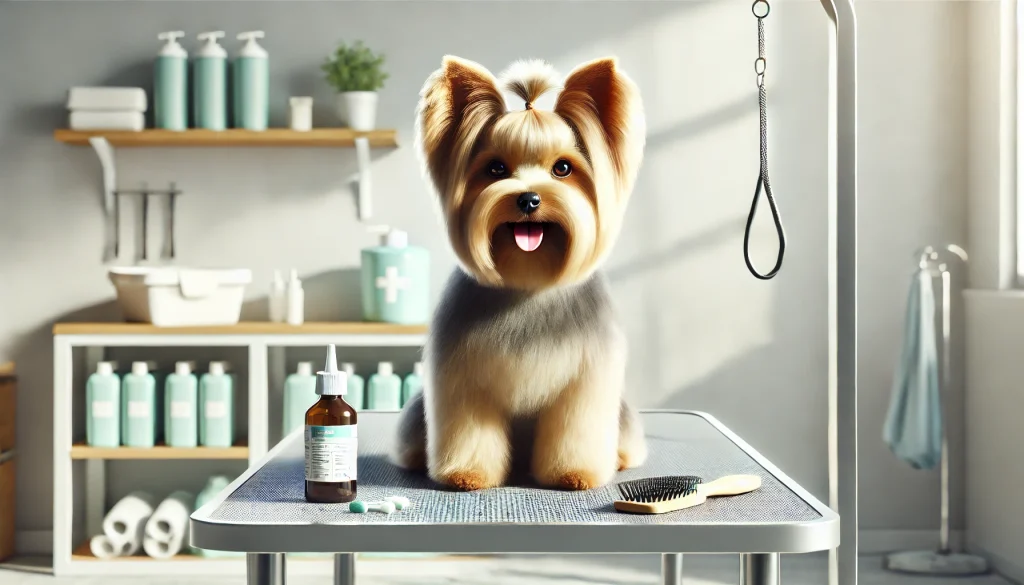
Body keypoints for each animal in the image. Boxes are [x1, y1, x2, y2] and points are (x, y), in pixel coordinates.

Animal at [393, 57, 647, 491]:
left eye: (563, 168)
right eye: (495, 168)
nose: (528, 198)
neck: (529, 278)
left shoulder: (585, 380)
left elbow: (575, 427)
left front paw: (573, 473)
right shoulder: (463, 377)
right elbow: (470, 427)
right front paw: (467, 474)